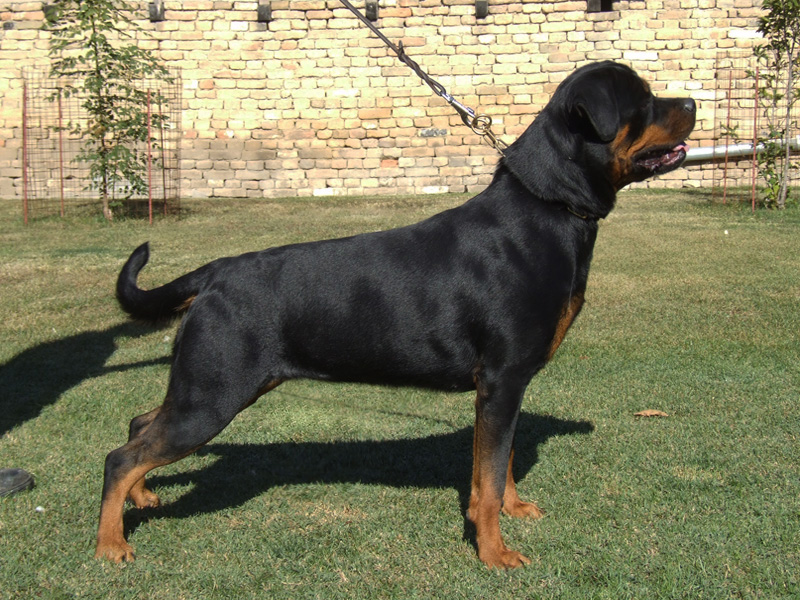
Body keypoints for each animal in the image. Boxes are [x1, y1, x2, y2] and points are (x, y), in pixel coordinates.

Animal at [95, 61, 695, 568]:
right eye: (643, 100)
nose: (691, 100)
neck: (548, 207)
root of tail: (215, 273)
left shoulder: (509, 386)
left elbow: (500, 465)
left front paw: (515, 509)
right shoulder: (501, 380)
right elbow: (487, 478)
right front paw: (495, 552)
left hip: (206, 384)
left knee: (140, 424)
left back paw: (142, 499)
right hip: (214, 393)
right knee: (121, 457)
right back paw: (110, 545)